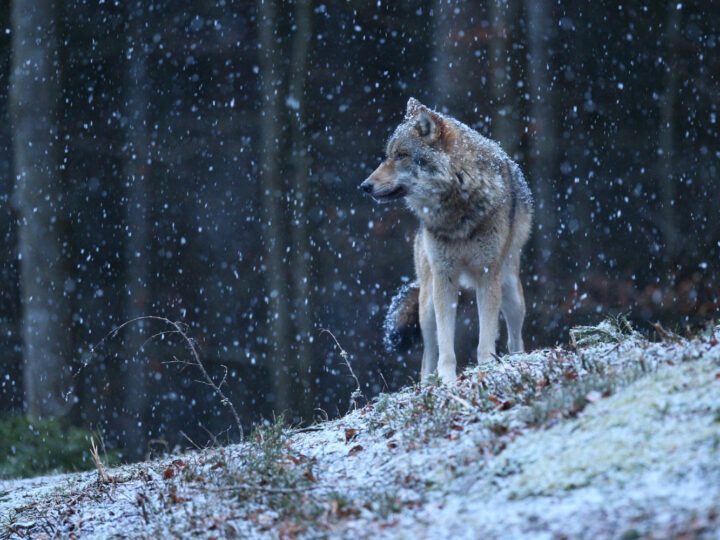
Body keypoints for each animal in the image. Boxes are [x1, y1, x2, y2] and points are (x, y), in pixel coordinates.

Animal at [362, 97, 532, 384]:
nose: (364, 186)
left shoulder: (487, 275)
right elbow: (445, 342)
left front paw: (486, 366)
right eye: (388, 155)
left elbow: (486, 335)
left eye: (401, 155)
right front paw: (447, 378)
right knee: (426, 356)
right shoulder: (444, 277)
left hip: (511, 292)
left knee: (515, 338)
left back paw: (516, 360)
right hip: (427, 303)